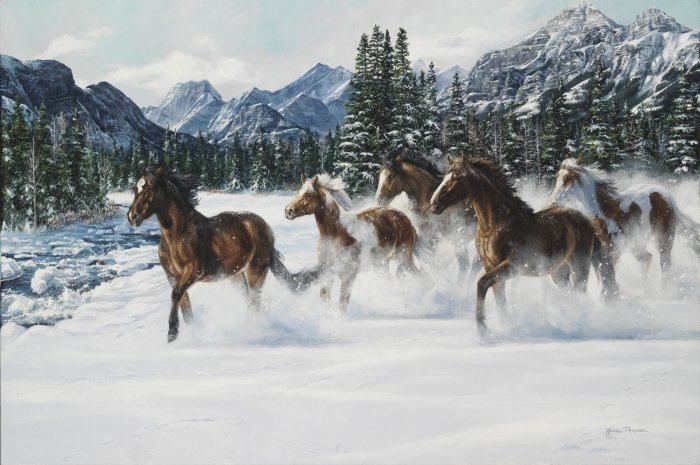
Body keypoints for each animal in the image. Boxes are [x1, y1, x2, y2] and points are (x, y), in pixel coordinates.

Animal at [127, 165, 319, 343]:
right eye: (135, 187)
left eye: (151, 187)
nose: (132, 216)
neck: (178, 236)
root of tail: (266, 228)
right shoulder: (173, 277)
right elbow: (184, 305)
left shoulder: (193, 272)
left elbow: (176, 295)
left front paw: (172, 332)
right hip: (236, 276)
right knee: (249, 299)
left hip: (255, 271)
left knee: (255, 301)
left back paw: (253, 331)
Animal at [285, 173, 419, 312]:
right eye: (298, 192)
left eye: (309, 194)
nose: (288, 211)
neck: (336, 234)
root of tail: (406, 220)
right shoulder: (328, 272)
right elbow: (325, 296)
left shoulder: (349, 275)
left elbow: (342, 304)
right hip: (381, 264)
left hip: (404, 259)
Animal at [429, 155, 618, 335]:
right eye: (445, 177)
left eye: (455, 177)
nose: (434, 204)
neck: (495, 225)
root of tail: (586, 220)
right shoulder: (490, 265)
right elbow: (499, 299)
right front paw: (505, 327)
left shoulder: (511, 266)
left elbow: (481, 284)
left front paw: (483, 330)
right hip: (558, 272)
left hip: (579, 266)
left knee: (580, 292)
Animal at [548, 157, 700, 285]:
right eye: (557, 176)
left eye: (569, 177)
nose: (552, 202)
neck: (604, 214)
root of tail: (667, 197)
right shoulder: (596, 257)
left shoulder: (612, 255)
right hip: (636, 244)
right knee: (647, 259)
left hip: (663, 239)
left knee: (665, 264)